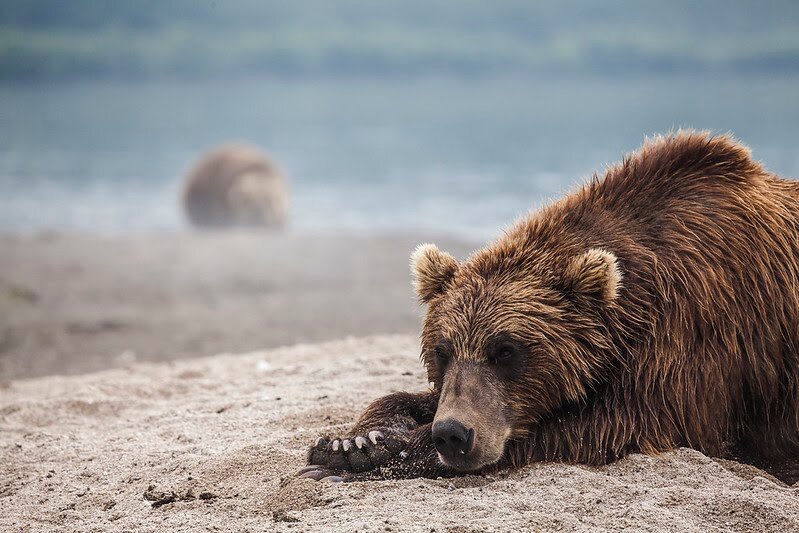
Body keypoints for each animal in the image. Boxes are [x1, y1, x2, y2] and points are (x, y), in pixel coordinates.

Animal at [296, 130, 799, 482]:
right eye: (441, 350)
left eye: (506, 350)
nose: (452, 435)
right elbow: (414, 397)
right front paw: (354, 441)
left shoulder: (698, 334)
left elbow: (612, 423)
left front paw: (361, 459)